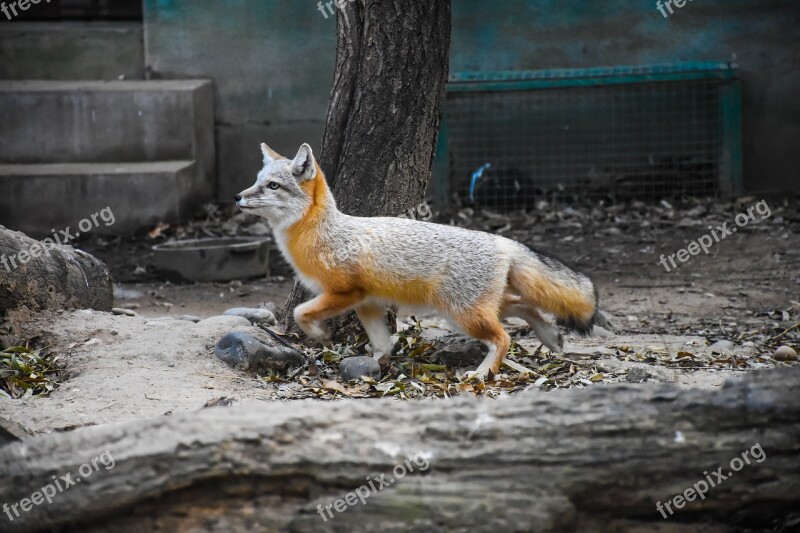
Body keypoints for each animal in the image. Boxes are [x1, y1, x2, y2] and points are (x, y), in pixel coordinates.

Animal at [234, 143, 596, 376]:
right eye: (256, 181)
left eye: (272, 186)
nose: (237, 196)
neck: (324, 232)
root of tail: (501, 240)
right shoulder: (367, 302)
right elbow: (381, 343)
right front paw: (377, 365)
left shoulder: (344, 292)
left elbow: (300, 312)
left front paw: (320, 335)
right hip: (468, 310)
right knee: (524, 306)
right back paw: (551, 337)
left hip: (463, 315)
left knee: (504, 337)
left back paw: (482, 374)